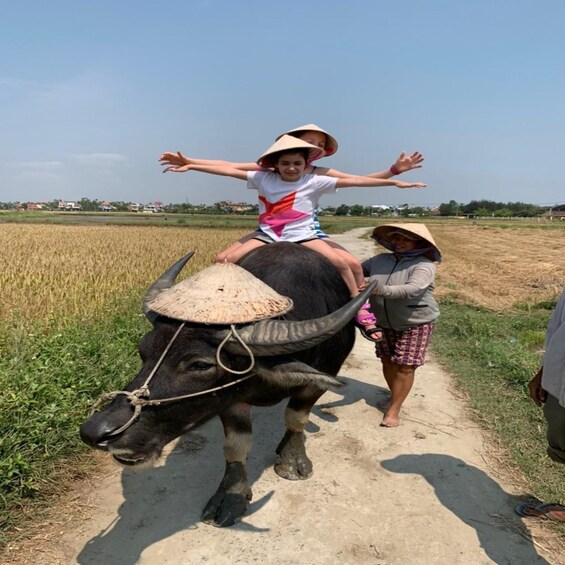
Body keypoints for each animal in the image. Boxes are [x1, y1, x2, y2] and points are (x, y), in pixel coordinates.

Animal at [78, 242, 370, 524]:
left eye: (200, 365)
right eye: (143, 350)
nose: (94, 431)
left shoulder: (320, 379)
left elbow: (296, 417)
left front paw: (292, 460)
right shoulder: (230, 399)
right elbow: (236, 444)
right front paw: (231, 495)